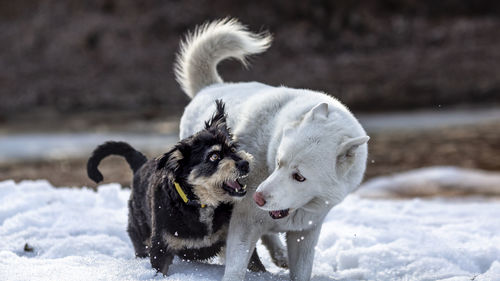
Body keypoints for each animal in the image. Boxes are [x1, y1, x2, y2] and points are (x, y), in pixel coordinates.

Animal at [87, 100, 266, 274]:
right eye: (214, 156)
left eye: (233, 148)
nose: (245, 163)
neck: (200, 203)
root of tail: (141, 164)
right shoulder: (160, 248)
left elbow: (254, 265)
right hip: (140, 234)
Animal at [175, 18, 368, 278]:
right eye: (278, 162)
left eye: (299, 176)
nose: (257, 197)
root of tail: (210, 87)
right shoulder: (243, 224)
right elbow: (235, 267)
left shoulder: (304, 234)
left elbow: (301, 272)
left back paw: (279, 254)